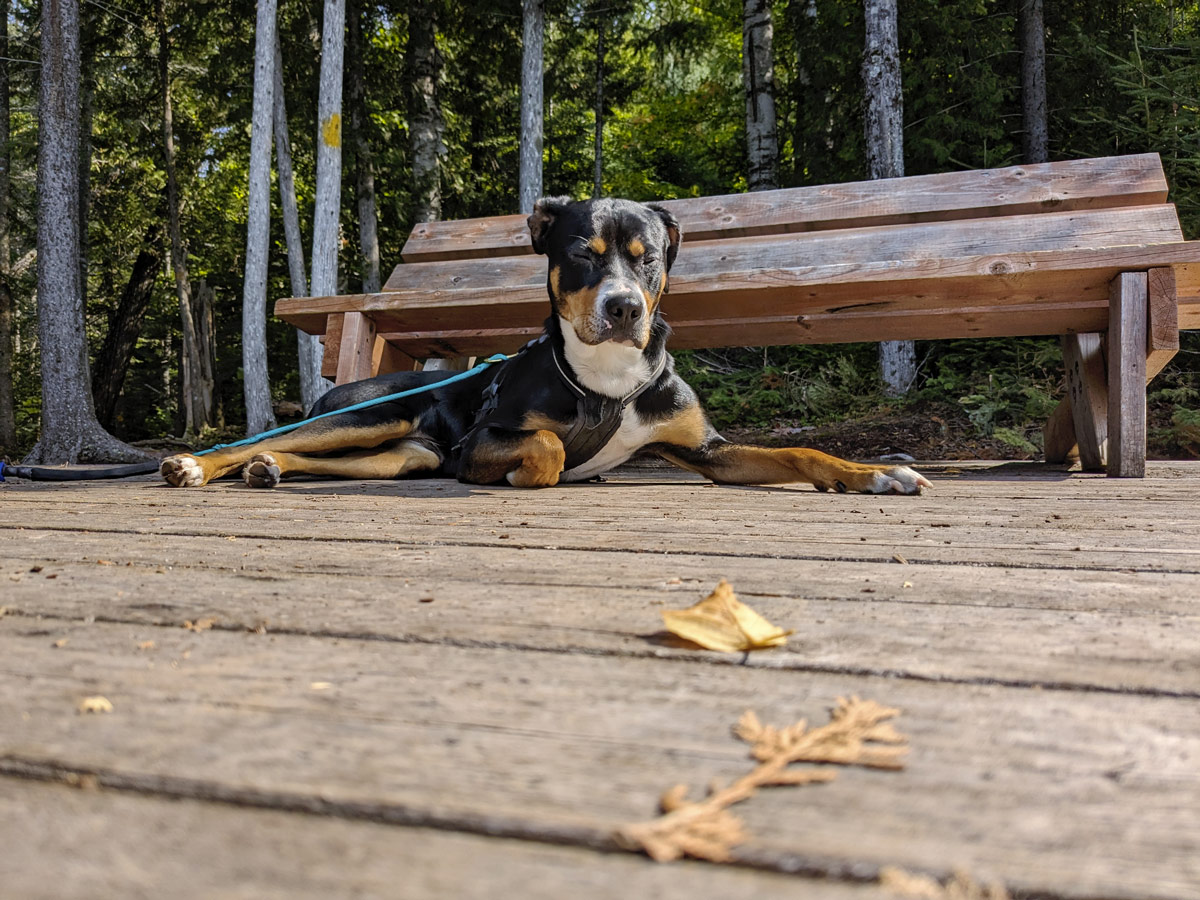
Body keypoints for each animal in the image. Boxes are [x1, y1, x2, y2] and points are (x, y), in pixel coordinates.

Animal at [157, 198, 926, 496]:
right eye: (581, 254)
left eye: (649, 259)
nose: (624, 308)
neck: (607, 377)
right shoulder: (485, 440)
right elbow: (550, 445)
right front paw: (530, 474)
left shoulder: (707, 450)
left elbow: (802, 453)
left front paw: (873, 473)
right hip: (373, 416)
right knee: (264, 439)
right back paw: (196, 465)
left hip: (400, 457)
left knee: (301, 454)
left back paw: (267, 470)